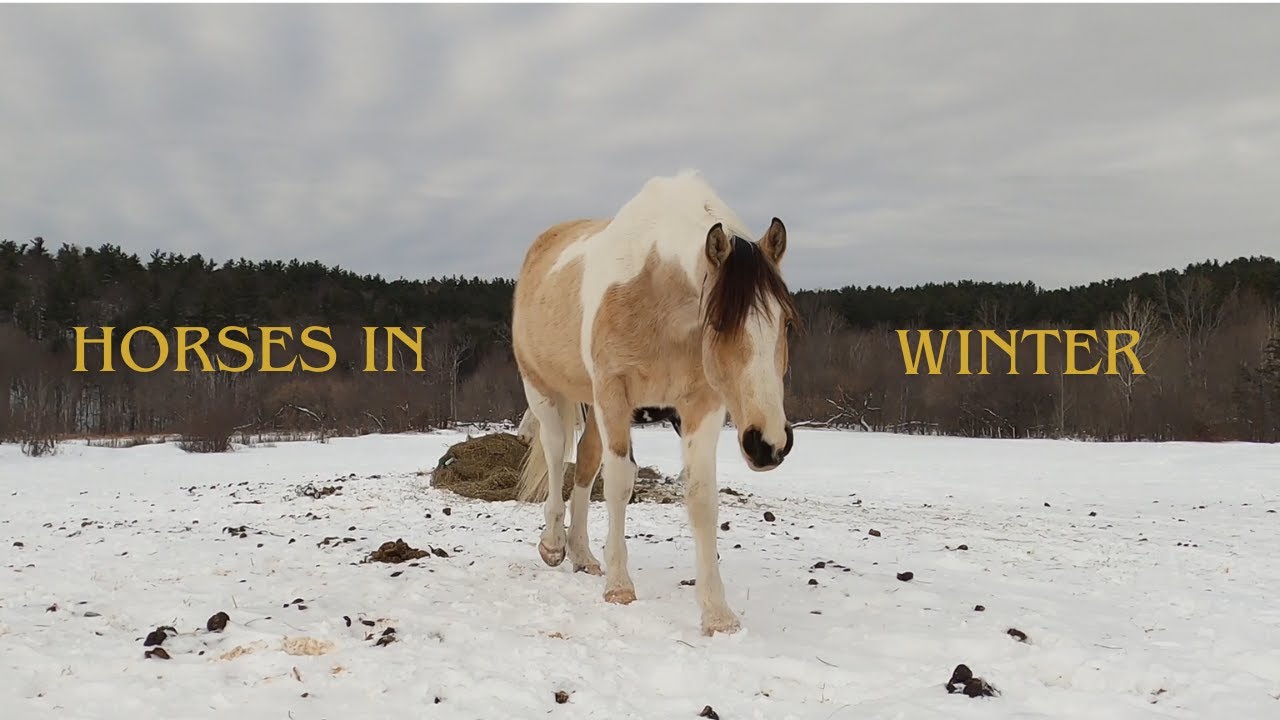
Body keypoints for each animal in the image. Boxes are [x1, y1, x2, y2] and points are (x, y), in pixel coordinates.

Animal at [510, 169, 800, 636]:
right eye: (719, 322)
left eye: (786, 322)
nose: (768, 444)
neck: (655, 291)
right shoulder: (614, 393)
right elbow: (619, 483)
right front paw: (619, 587)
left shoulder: (701, 405)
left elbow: (701, 498)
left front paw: (717, 614)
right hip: (544, 391)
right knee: (556, 456)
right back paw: (553, 546)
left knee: (585, 462)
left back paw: (582, 554)